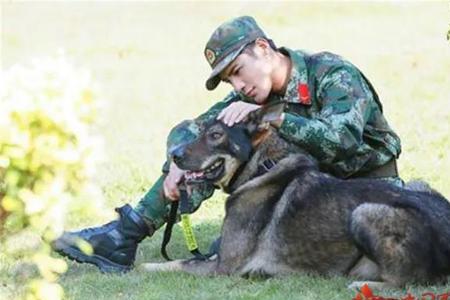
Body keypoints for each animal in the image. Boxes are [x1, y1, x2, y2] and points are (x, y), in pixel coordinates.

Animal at [142, 103, 450, 288]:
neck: (259, 168)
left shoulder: (224, 268)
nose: (174, 155)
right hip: (417, 185)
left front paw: (146, 266)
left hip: (364, 212)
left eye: (216, 135)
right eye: (201, 131)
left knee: (408, 281)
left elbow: (181, 262)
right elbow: (195, 258)